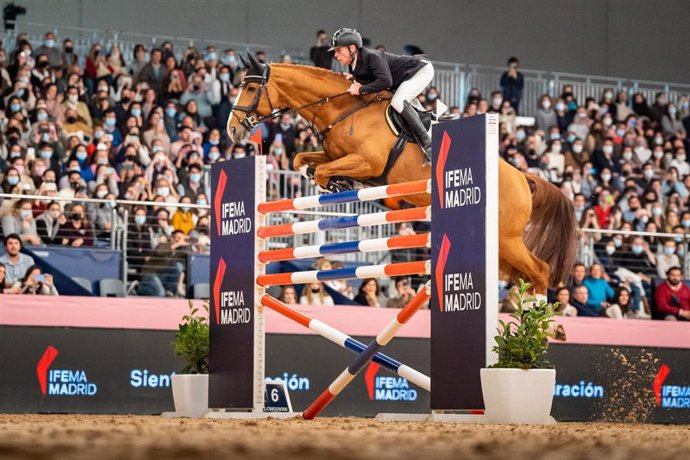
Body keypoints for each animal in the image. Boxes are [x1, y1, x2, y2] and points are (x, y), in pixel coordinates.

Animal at [226, 54, 577, 293]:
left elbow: (324, 169)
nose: (231, 130)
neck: (342, 109)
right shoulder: (335, 154)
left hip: (507, 238)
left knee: (540, 270)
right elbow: (303, 159)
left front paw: (334, 183)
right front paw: (326, 180)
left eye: (252, 87)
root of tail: (523, 178)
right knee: (527, 275)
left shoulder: (367, 163)